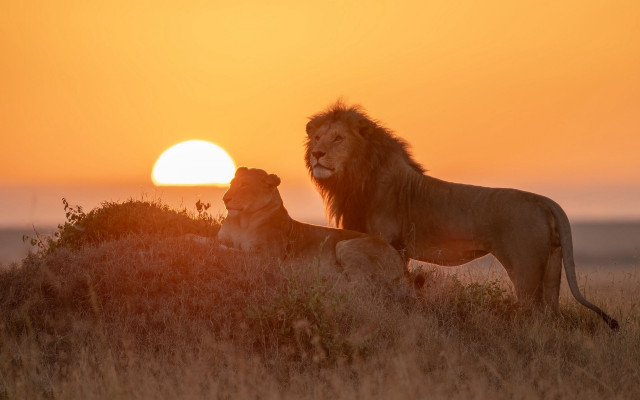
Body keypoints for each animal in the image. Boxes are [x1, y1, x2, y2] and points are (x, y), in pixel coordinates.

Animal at [217, 167, 412, 294]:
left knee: (362, 285)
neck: (242, 220)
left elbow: (237, 253)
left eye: (244, 185)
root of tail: (402, 264)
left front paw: (223, 250)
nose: (225, 198)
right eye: (232, 183)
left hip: (345, 245)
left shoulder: (268, 256)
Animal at [304, 100, 618, 330]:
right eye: (317, 138)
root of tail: (544, 201)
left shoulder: (389, 244)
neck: (354, 178)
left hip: (525, 267)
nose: (317, 154)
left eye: (338, 138)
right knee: (553, 315)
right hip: (552, 264)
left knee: (535, 311)